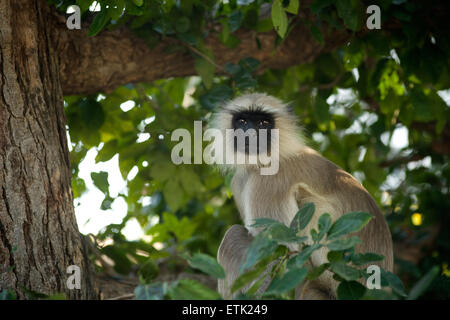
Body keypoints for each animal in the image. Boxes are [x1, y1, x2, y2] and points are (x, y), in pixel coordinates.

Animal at [209, 92, 392, 300]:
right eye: (242, 121)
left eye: (264, 123)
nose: (250, 134)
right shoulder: (240, 181)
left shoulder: (268, 182)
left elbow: (286, 254)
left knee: (233, 236)